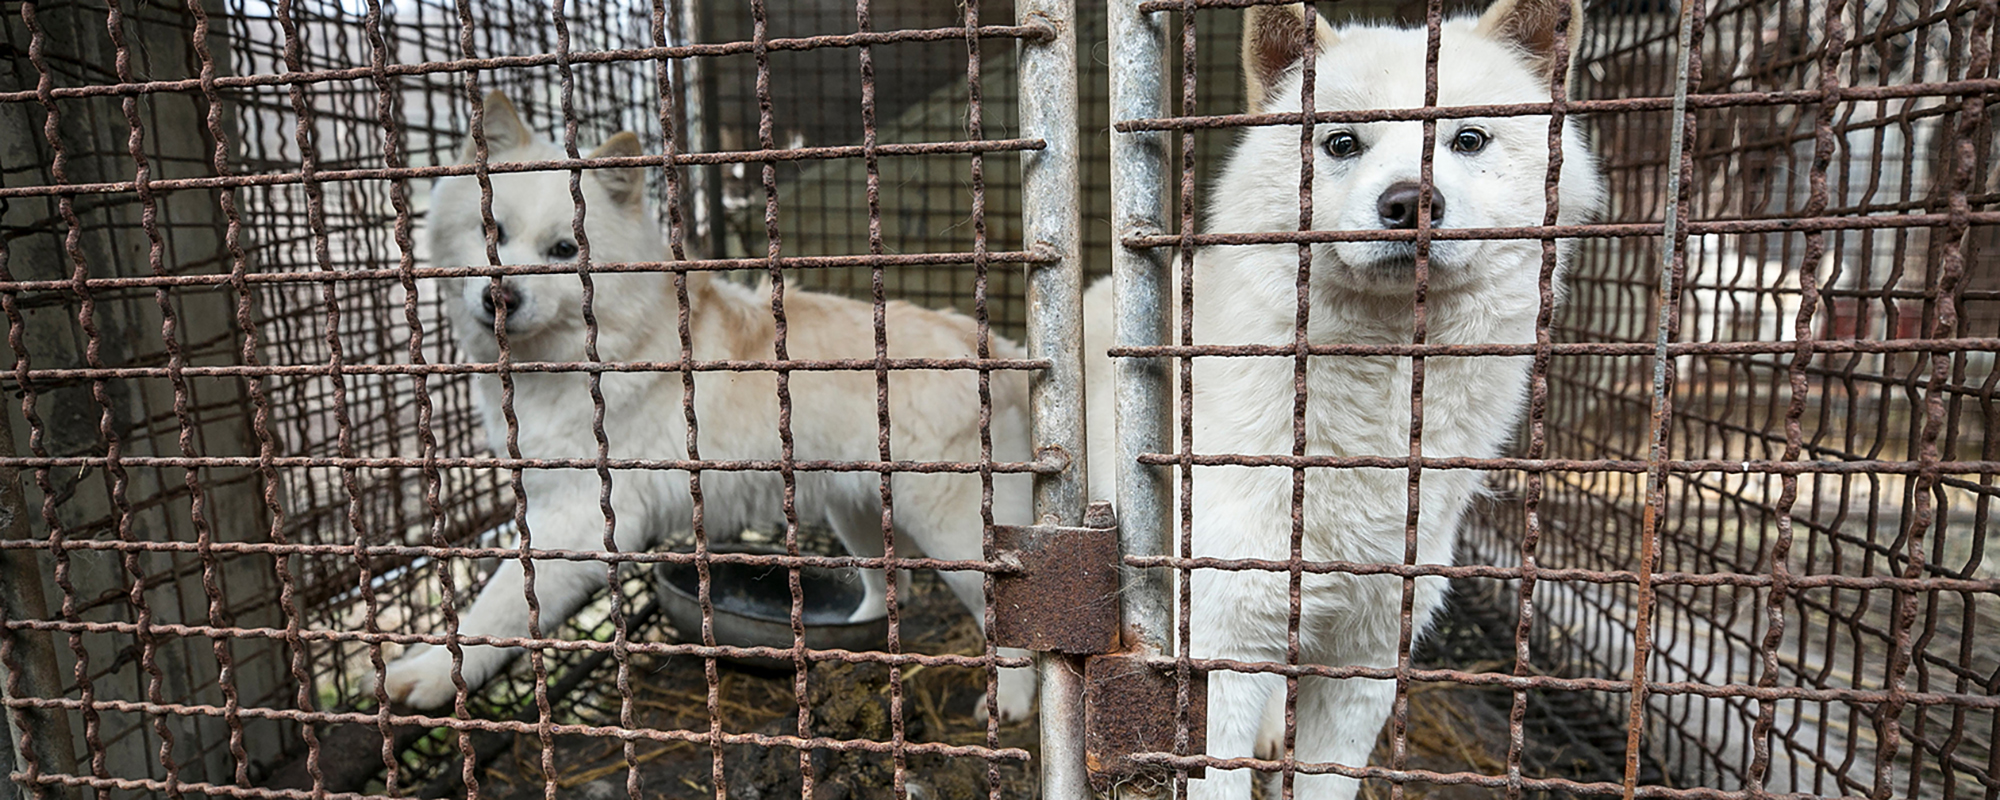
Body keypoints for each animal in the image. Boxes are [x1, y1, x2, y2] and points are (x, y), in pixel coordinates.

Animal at [376, 92, 1040, 720]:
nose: (500, 298)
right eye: (492, 232)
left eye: (564, 249)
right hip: (857, 516)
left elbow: (501, 603)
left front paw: (433, 674)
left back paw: (1011, 701)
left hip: (954, 535)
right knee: (882, 590)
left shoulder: (580, 515)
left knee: (1009, 629)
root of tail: (991, 348)